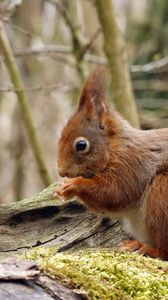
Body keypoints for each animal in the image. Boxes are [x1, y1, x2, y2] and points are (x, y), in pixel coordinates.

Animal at [55, 68, 168, 260]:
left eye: (81, 145)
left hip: (162, 194)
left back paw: (148, 249)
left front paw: (73, 185)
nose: (61, 172)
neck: (115, 147)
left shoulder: (131, 164)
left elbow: (115, 193)